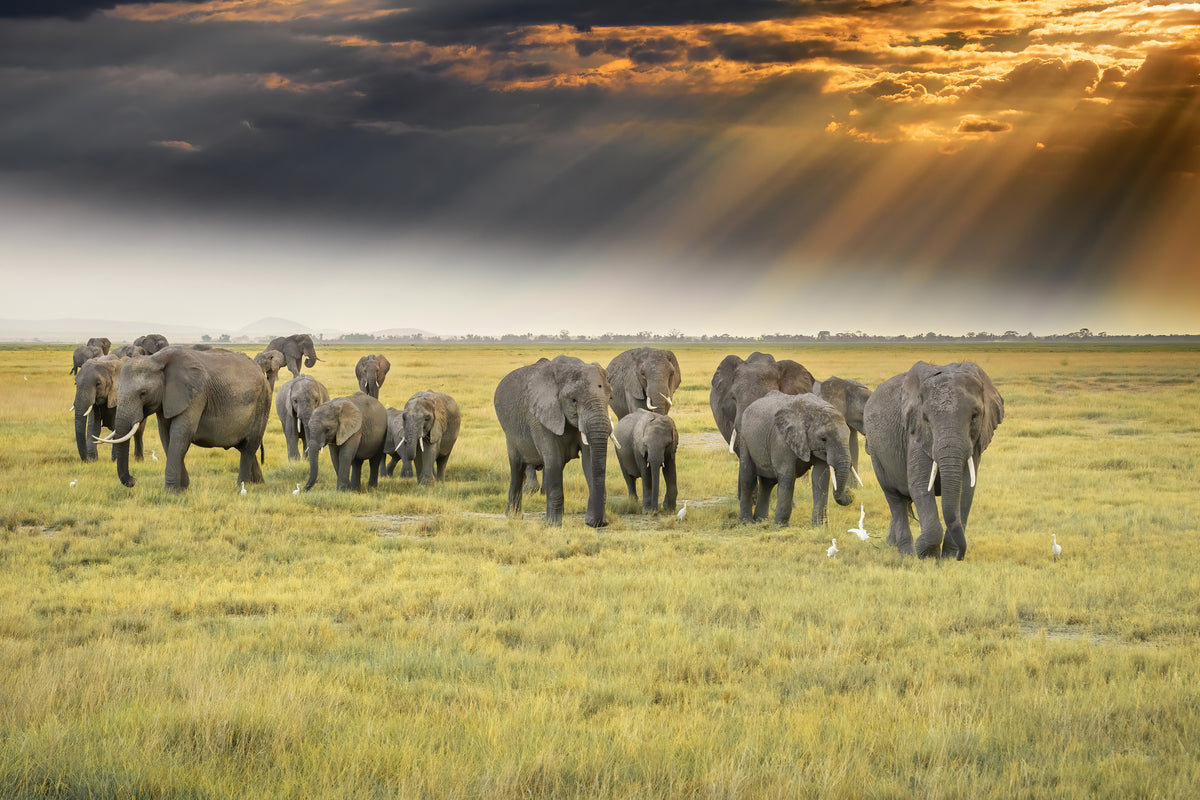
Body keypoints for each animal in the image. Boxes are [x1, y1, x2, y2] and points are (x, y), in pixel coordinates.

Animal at [95, 346, 271, 491]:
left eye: (143, 393)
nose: (133, 481)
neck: (157, 359)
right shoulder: (166, 401)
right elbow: (166, 437)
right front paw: (184, 489)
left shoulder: (195, 395)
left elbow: (180, 435)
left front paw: (171, 492)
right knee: (246, 447)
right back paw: (257, 484)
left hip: (262, 404)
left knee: (249, 447)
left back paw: (241, 486)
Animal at [494, 355, 613, 527]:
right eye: (573, 400)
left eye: (610, 398)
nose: (597, 523)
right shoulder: (540, 416)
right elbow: (553, 459)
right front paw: (553, 525)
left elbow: (589, 460)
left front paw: (593, 521)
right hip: (510, 433)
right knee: (516, 468)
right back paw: (513, 517)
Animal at [737, 391, 854, 527]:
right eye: (823, 439)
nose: (851, 493)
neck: (812, 410)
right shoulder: (781, 439)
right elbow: (787, 477)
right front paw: (780, 527)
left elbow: (820, 478)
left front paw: (819, 527)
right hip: (744, 439)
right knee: (748, 479)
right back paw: (746, 523)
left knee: (767, 483)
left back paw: (761, 521)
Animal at [863, 361, 1004, 560]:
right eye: (926, 419)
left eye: (974, 416)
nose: (961, 555)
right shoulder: (915, 436)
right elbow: (921, 486)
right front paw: (927, 555)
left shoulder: (975, 444)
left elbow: (967, 489)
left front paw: (949, 557)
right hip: (876, 452)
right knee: (894, 499)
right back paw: (907, 554)